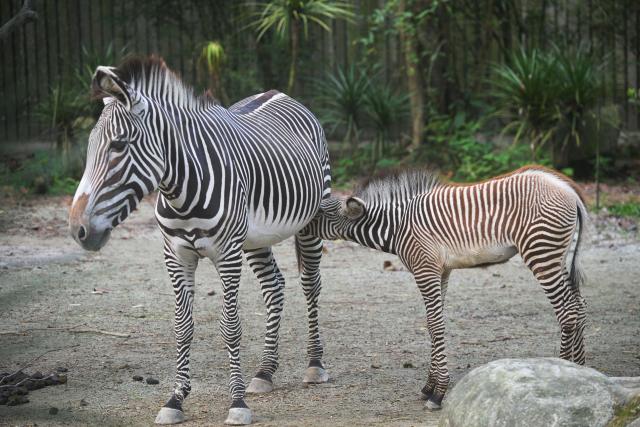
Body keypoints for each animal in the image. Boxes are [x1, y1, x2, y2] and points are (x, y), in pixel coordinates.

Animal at [68, 56, 331, 425]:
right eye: (91, 149)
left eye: (118, 146)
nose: (77, 229)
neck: (180, 190)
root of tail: (278, 92)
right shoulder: (176, 255)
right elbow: (183, 326)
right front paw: (175, 399)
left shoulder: (228, 254)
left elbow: (230, 326)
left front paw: (236, 403)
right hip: (256, 238)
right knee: (274, 286)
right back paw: (265, 371)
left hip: (314, 216)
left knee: (311, 284)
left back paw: (315, 364)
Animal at [301, 166, 588, 409]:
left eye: (322, 213)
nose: (299, 228)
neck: (398, 227)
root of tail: (568, 189)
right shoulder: (442, 271)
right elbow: (431, 324)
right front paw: (430, 386)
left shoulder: (425, 270)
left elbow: (436, 325)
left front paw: (438, 393)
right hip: (559, 255)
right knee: (580, 308)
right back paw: (580, 371)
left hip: (541, 252)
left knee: (567, 313)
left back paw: (563, 371)